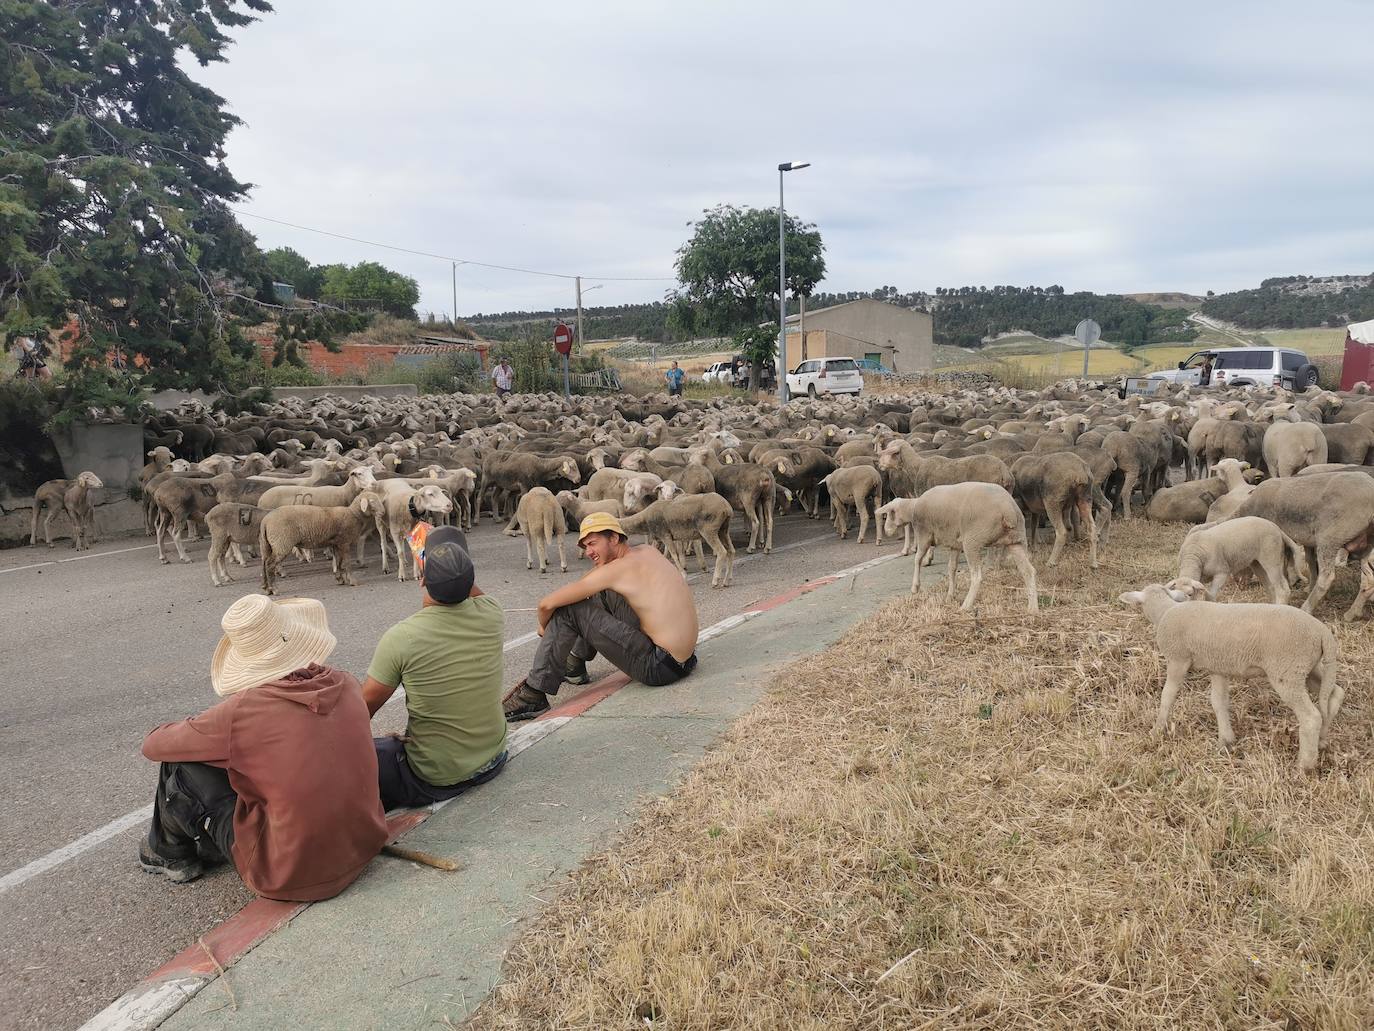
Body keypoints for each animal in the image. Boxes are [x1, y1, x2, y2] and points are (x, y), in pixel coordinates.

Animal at [884, 483, 1033, 613]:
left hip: (972, 541)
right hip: (1017, 540)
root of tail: (1008, 510)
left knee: (976, 576)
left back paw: (966, 606)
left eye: (890, 513)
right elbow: (951, 568)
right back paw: (1033, 609)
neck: (913, 508)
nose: (886, 531)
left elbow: (917, 559)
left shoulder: (924, 535)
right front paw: (950, 595)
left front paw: (915, 587)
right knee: (1028, 571)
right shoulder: (954, 544)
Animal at [1115, 585, 1341, 769]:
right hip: (1306, 667)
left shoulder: (1178, 660)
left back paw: (1305, 765)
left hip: (1287, 672)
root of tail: (1323, 632)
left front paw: (1157, 729)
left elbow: (1167, 696)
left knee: (1311, 717)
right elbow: (1218, 702)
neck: (1164, 611)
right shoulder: (1218, 667)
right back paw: (1322, 741)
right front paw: (1226, 740)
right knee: (1335, 694)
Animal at [1170, 516, 1308, 604]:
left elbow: (1211, 596)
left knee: (1283, 589)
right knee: (1270, 587)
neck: (1193, 556)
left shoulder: (1221, 572)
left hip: (1272, 558)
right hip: (1257, 563)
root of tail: (1278, 529)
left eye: (1189, 594)